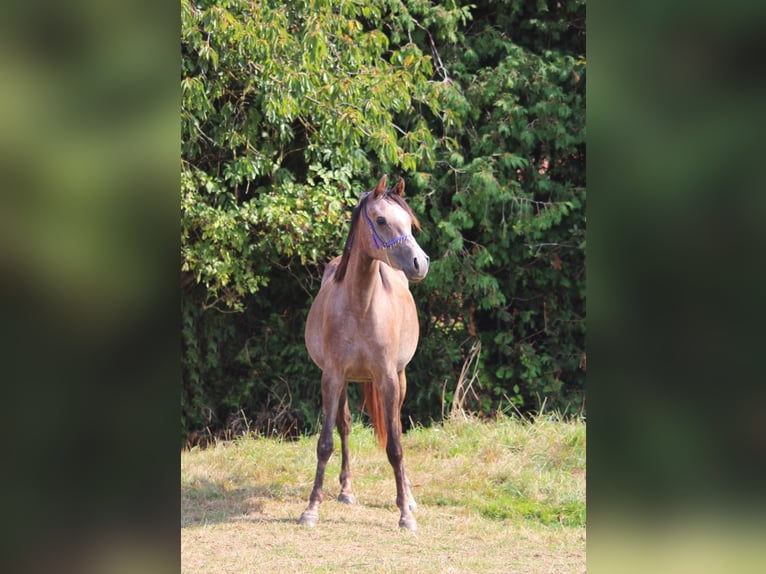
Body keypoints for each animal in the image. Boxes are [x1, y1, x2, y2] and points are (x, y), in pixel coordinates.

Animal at [300, 174, 432, 532]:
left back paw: (409, 498)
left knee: (396, 425)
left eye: (410, 223)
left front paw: (405, 514)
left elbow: (395, 446)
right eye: (381, 220)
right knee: (345, 426)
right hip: (345, 382)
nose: (420, 263)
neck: (360, 305)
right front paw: (312, 508)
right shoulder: (332, 377)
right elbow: (325, 443)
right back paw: (346, 489)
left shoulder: (387, 378)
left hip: (399, 379)